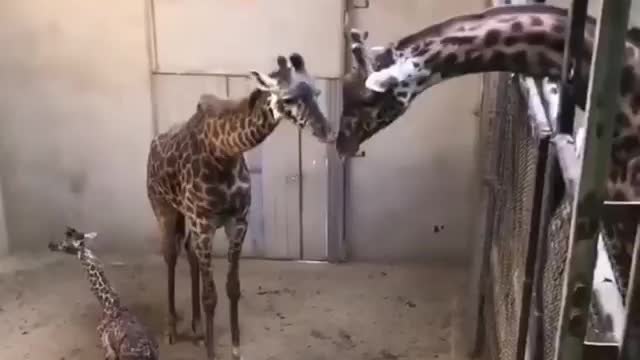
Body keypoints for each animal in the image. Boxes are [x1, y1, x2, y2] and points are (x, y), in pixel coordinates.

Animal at [146, 51, 336, 360]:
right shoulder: (203, 221)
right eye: (288, 98)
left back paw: (197, 327)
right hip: (163, 207)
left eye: (317, 93)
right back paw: (173, 329)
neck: (225, 152)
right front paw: (212, 353)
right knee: (170, 254)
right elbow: (210, 296)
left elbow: (232, 288)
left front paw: (234, 349)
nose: (328, 132)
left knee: (189, 251)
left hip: (191, 220)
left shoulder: (237, 220)